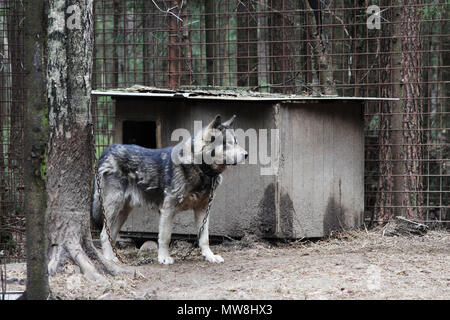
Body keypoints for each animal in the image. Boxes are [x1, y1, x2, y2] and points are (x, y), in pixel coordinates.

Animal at [91, 115, 246, 264]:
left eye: (236, 142)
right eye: (228, 143)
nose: (246, 154)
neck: (199, 167)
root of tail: (107, 150)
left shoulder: (203, 210)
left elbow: (204, 238)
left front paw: (210, 256)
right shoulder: (168, 209)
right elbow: (165, 237)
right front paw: (164, 258)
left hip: (123, 212)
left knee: (111, 235)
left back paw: (114, 258)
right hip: (114, 206)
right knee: (104, 234)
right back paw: (108, 259)